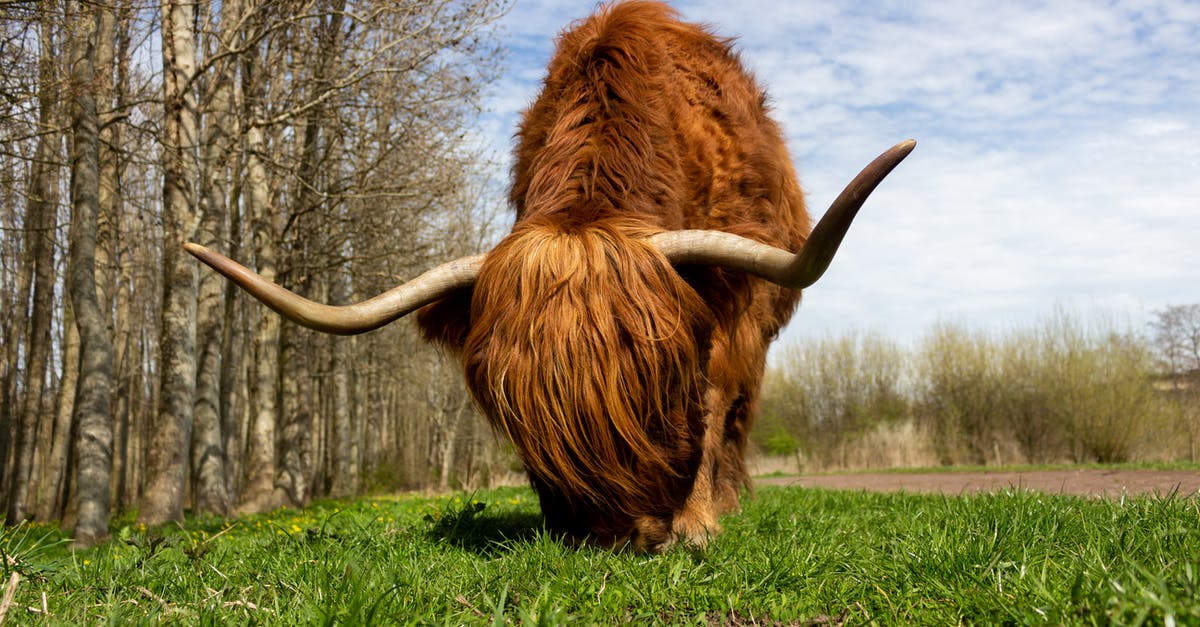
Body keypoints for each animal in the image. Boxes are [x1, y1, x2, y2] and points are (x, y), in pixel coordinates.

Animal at [187, 0, 907, 547]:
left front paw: (699, 520)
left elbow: (714, 400)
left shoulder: (735, 313)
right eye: (514, 404)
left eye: (662, 380)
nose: (621, 533)